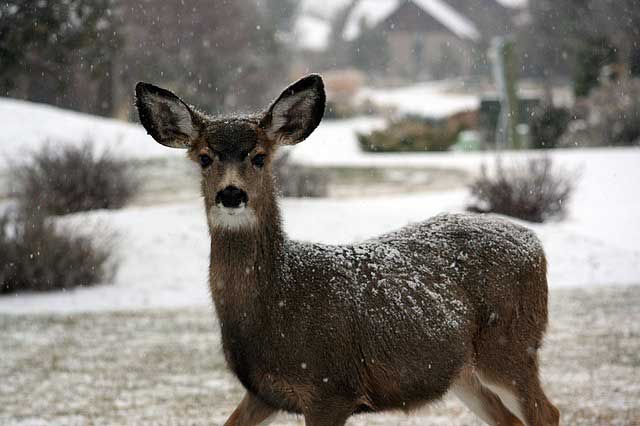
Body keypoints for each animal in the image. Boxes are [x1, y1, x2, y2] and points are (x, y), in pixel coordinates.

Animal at [135, 74, 559, 426]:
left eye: (259, 156)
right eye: (204, 158)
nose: (231, 194)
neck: (278, 301)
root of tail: (534, 242)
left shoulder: (331, 386)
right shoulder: (264, 392)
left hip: (510, 344)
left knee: (546, 412)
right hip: (461, 371)